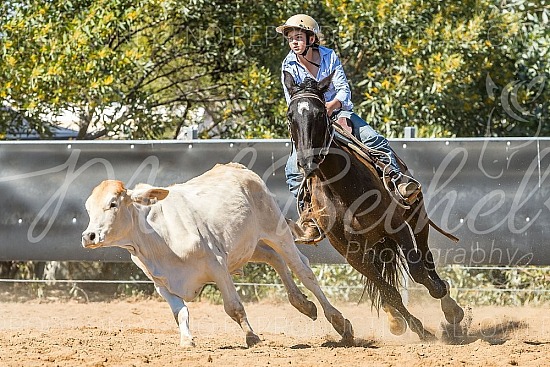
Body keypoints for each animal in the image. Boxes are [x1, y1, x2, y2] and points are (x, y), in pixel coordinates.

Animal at [83, 163, 354, 348]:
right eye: (88, 208)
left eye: (113, 204)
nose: (89, 236)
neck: (159, 235)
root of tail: (237, 167)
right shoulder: (162, 285)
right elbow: (180, 312)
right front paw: (187, 340)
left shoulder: (217, 265)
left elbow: (233, 307)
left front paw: (252, 337)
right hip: (249, 245)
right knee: (274, 259)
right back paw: (303, 304)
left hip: (276, 230)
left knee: (303, 269)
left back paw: (340, 323)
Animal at [284, 71, 466, 342]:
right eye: (290, 115)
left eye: (320, 113)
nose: (307, 161)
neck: (342, 190)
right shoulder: (349, 252)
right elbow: (389, 291)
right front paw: (419, 330)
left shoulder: (397, 227)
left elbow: (417, 271)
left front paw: (442, 303)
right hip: (370, 247)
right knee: (384, 283)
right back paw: (395, 319)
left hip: (416, 217)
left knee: (426, 258)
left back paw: (449, 306)